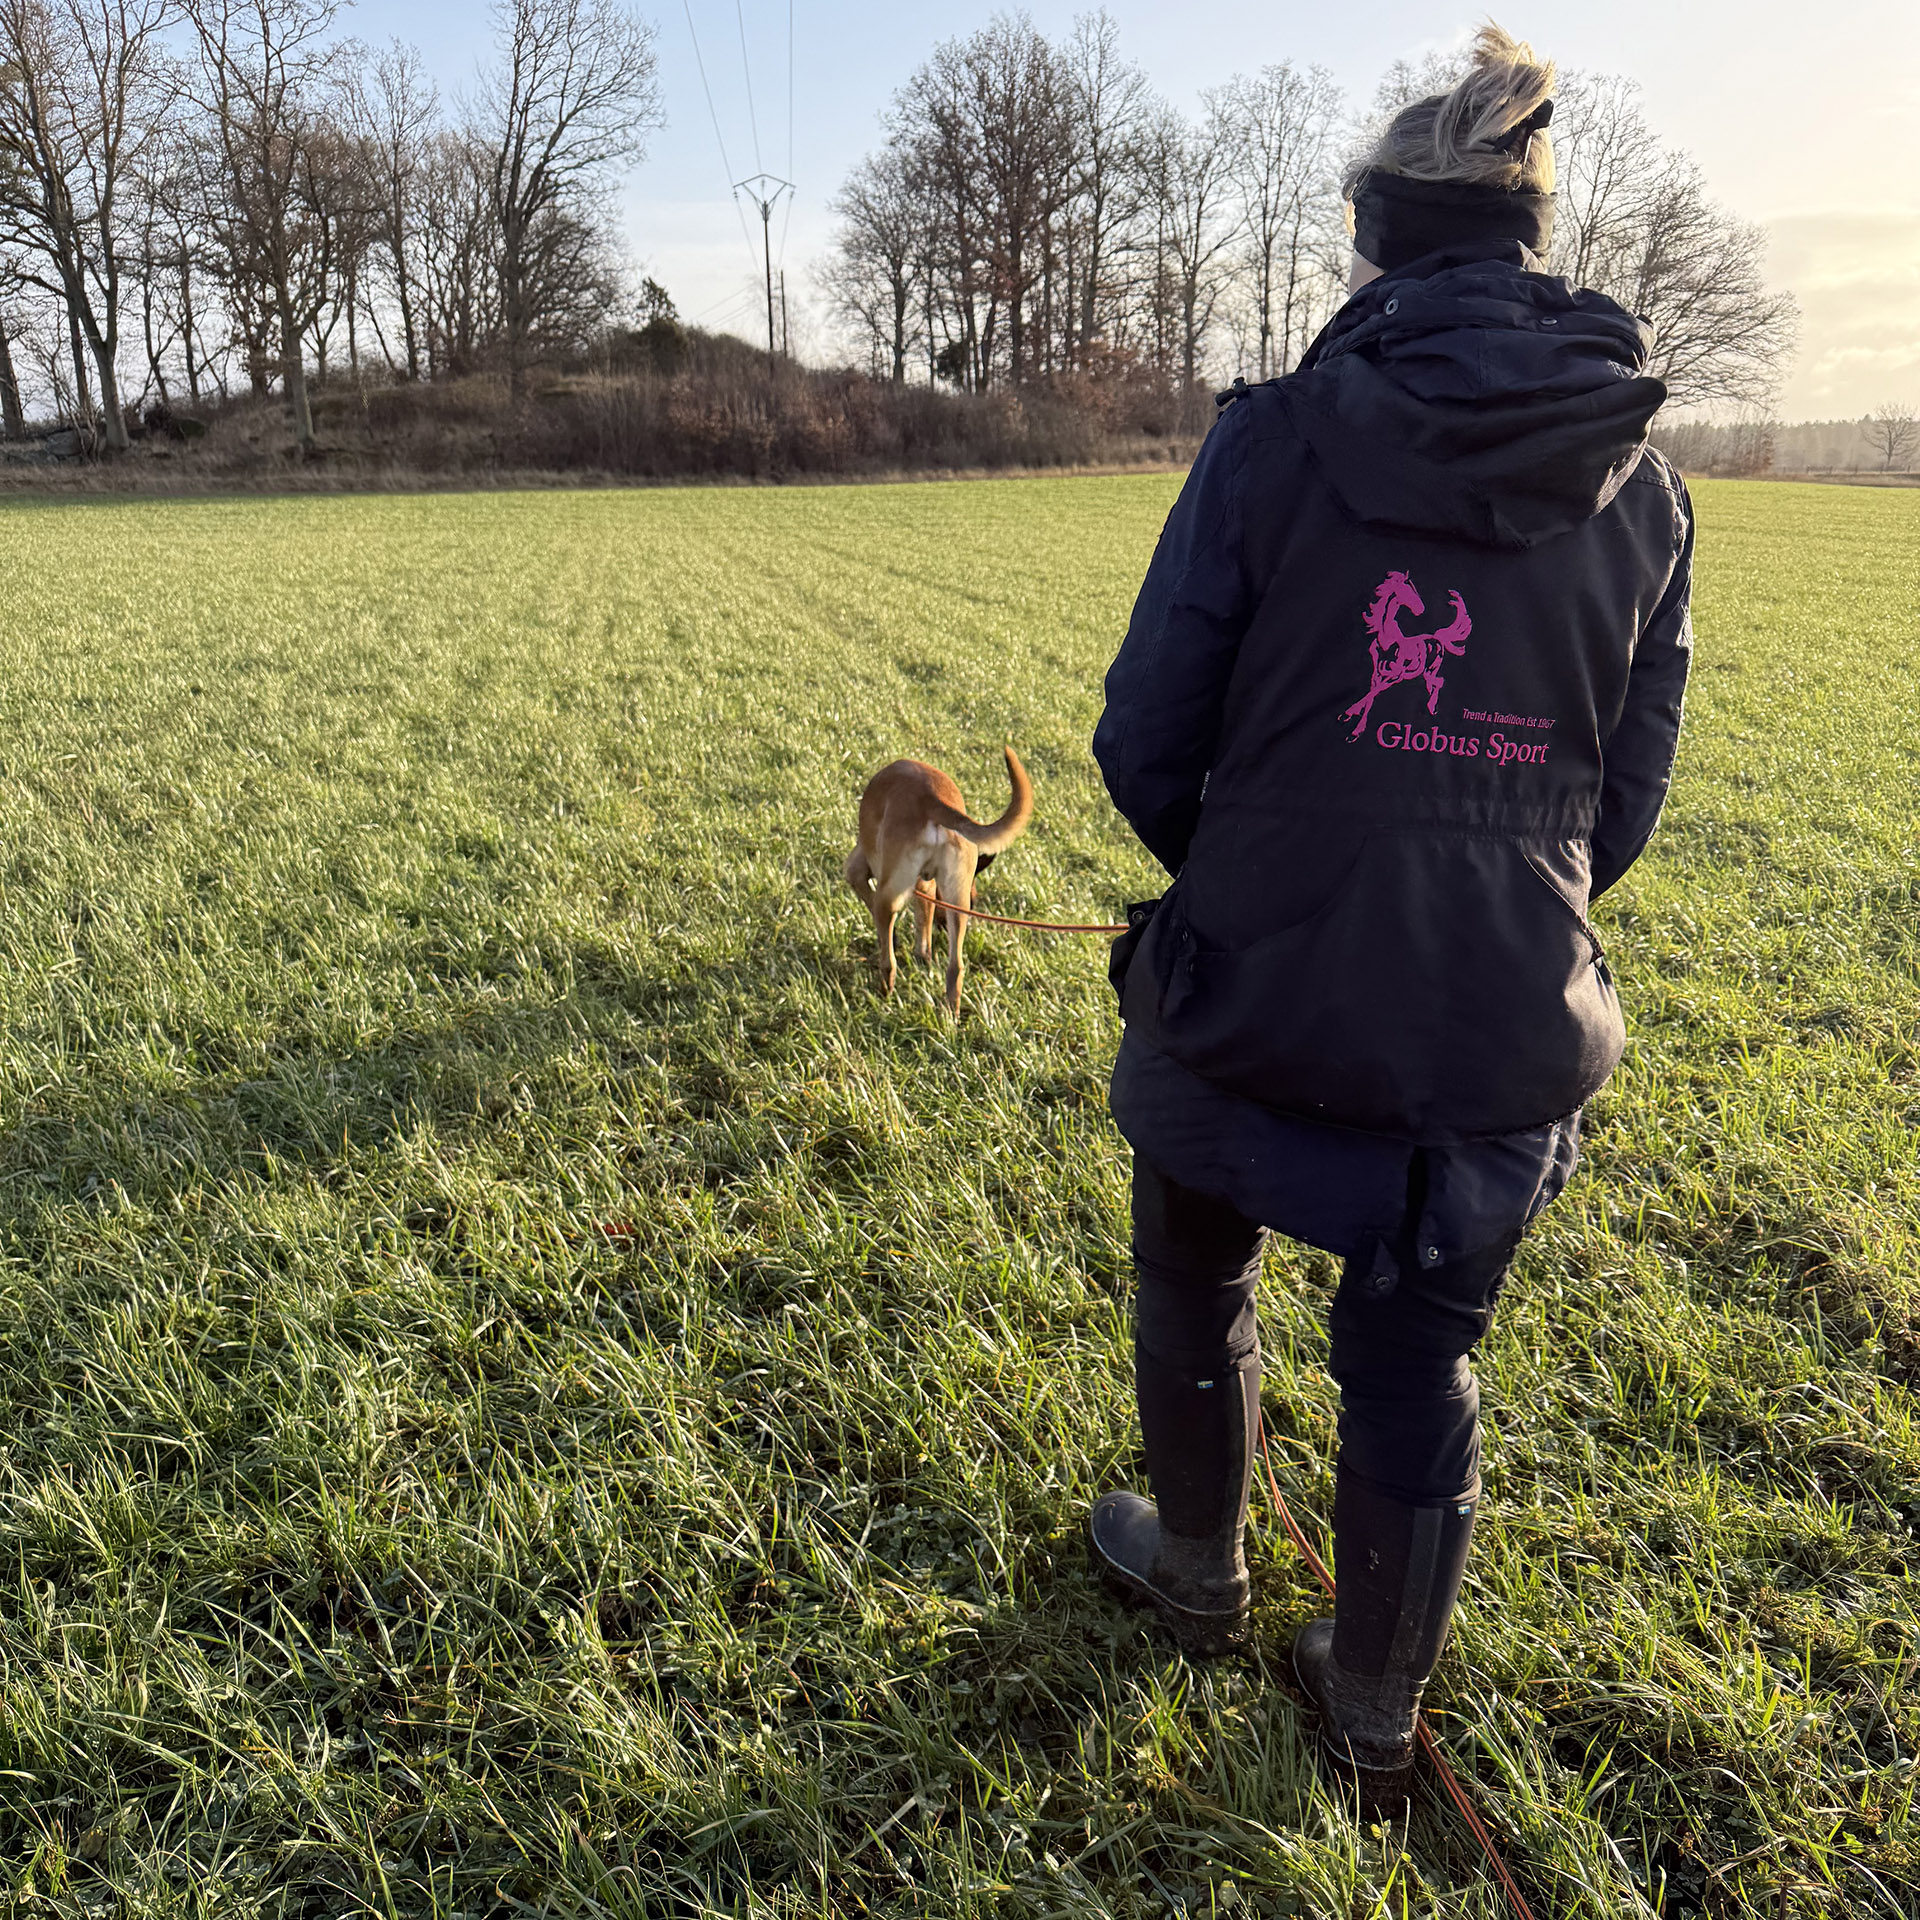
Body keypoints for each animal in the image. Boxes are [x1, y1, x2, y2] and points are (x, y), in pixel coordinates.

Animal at [845, 747, 1033, 1015]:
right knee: (956, 967)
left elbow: (866, 895)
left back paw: (884, 995)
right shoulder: (928, 887)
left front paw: (893, 939)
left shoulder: (859, 870)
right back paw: (951, 1015)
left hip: (888, 897)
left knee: (889, 960)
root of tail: (934, 802)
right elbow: (924, 930)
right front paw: (923, 957)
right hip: (958, 902)